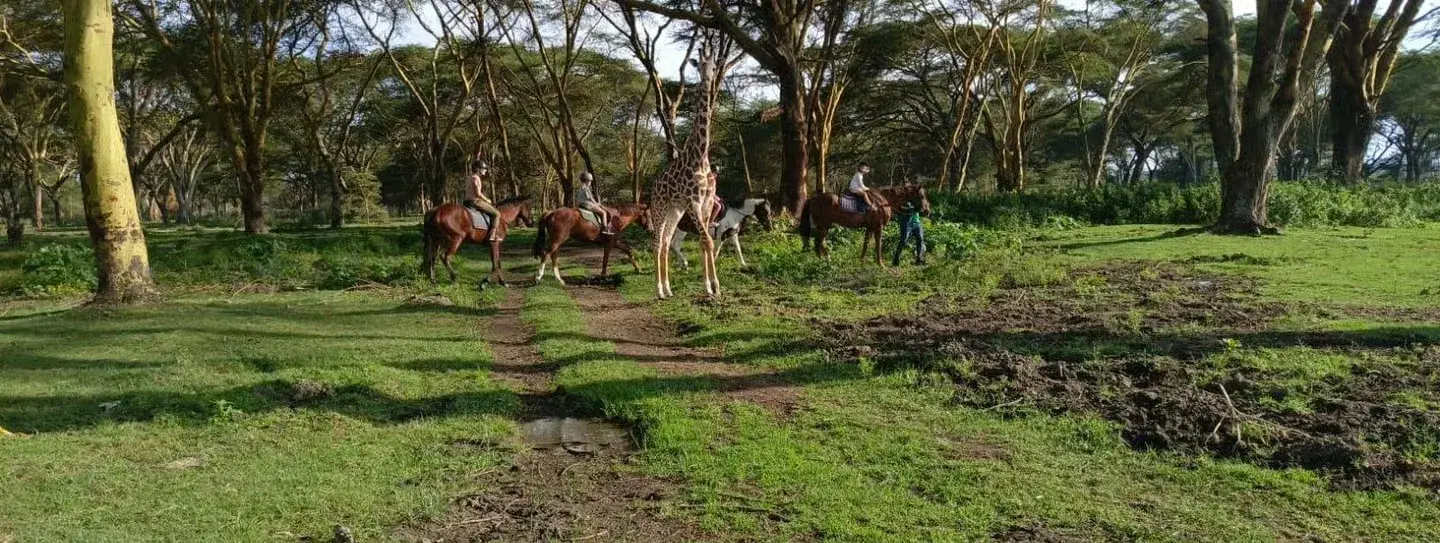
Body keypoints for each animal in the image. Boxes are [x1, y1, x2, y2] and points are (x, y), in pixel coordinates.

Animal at [650, 43, 720, 299]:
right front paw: (711, 286)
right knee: (657, 242)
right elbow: (707, 240)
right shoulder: (693, 202)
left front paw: (714, 285)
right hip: (660, 208)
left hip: (675, 211)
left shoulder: (707, 203)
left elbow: (704, 241)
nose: (708, 79)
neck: (700, 156)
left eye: (714, 65)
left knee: (666, 242)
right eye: (699, 66)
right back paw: (659, 290)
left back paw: (668, 288)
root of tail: (653, 186)